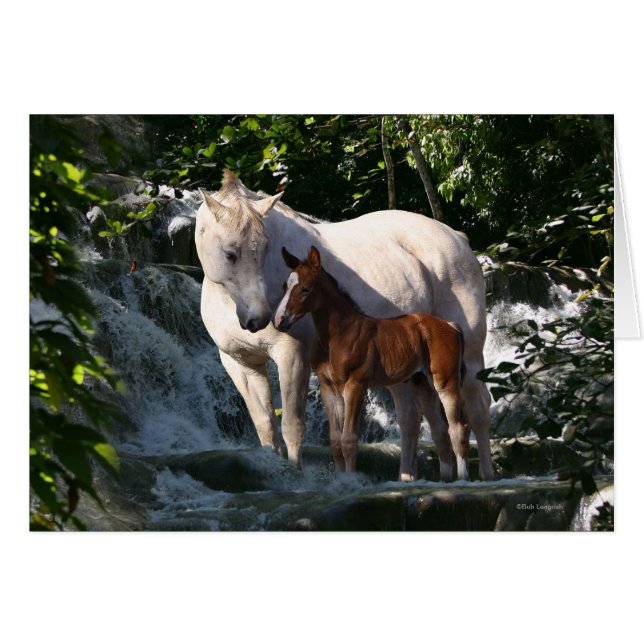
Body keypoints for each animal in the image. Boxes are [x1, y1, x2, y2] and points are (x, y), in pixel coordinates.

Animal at [274, 245, 470, 479]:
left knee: (457, 429)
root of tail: (450, 325)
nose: (279, 320)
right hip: (421, 383)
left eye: (306, 288)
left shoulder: (356, 385)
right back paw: (445, 480)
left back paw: (462, 479)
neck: (339, 334)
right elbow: (335, 441)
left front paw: (351, 480)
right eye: (285, 286)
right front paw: (341, 479)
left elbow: (349, 440)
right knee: (440, 431)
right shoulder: (329, 388)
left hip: (446, 383)